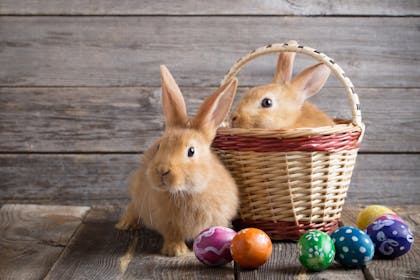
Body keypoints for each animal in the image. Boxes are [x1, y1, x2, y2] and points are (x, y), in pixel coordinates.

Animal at [115, 65, 240, 256]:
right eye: (159, 146)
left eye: (191, 151)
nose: (162, 171)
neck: (186, 192)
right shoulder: (168, 223)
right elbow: (173, 234)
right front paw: (175, 251)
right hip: (137, 194)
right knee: (133, 207)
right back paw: (124, 224)